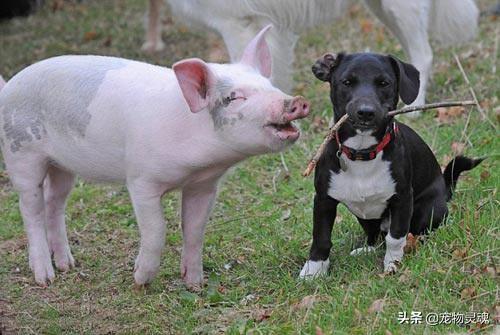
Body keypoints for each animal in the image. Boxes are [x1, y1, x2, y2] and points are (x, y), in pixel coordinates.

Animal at [0, 26, 310, 288]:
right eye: (234, 97)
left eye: (269, 85)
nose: (296, 101)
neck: (197, 162)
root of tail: (8, 87)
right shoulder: (141, 181)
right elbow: (157, 229)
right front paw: (141, 280)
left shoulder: (203, 185)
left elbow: (195, 230)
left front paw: (195, 285)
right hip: (21, 155)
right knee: (31, 209)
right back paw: (46, 278)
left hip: (62, 165)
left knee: (55, 202)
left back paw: (68, 265)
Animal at [298, 53, 482, 278]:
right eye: (347, 82)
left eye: (384, 83)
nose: (365, 112)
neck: (363, 153)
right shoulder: (323, 199)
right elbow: (321, 237)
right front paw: (313, 270)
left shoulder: (402, 199)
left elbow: (395, 237)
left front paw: (393, 264)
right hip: (364, 215)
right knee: (374, 235)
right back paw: (366, 249)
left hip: (428, 210)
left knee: (416, 231)